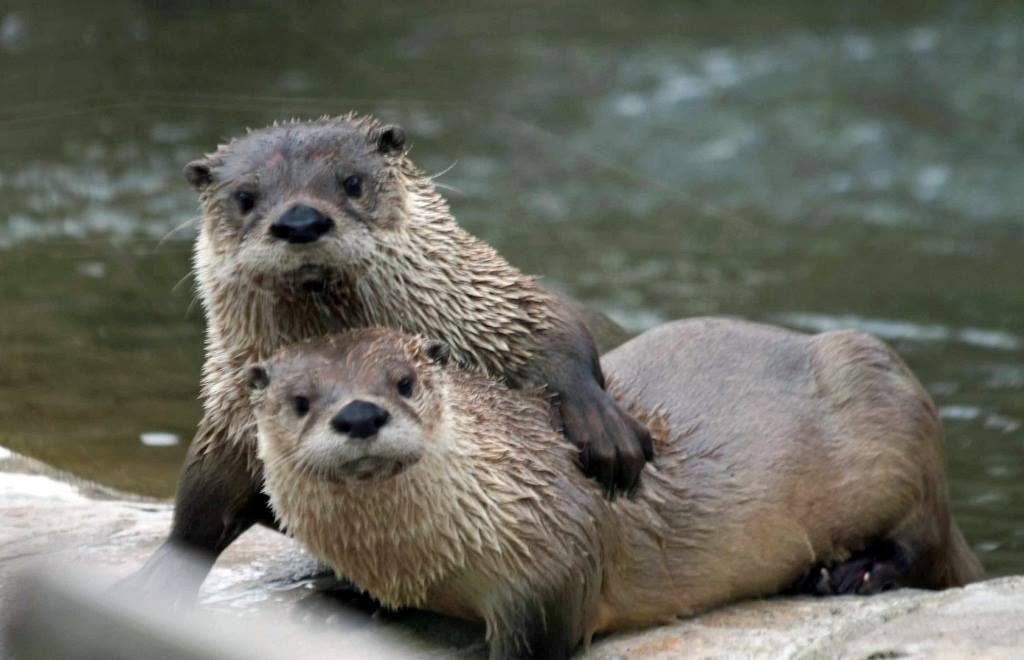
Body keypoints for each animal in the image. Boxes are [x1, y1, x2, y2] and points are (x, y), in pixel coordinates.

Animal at [130, 114, 651, 597]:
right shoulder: (233, 412)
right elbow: (202, 498)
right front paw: (161, 575)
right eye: (245, 197)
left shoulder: (498, 312)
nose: (300, 222)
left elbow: (558, 338)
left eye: (352, 182)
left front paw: (603, 430)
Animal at [251, 322, 982, 659]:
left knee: (921, 542)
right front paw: (330, 600)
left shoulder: (553, 560)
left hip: (888, 407)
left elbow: (541, 634)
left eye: (403, 382)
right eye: (300, 401)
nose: (359, 415)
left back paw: (848, 572)